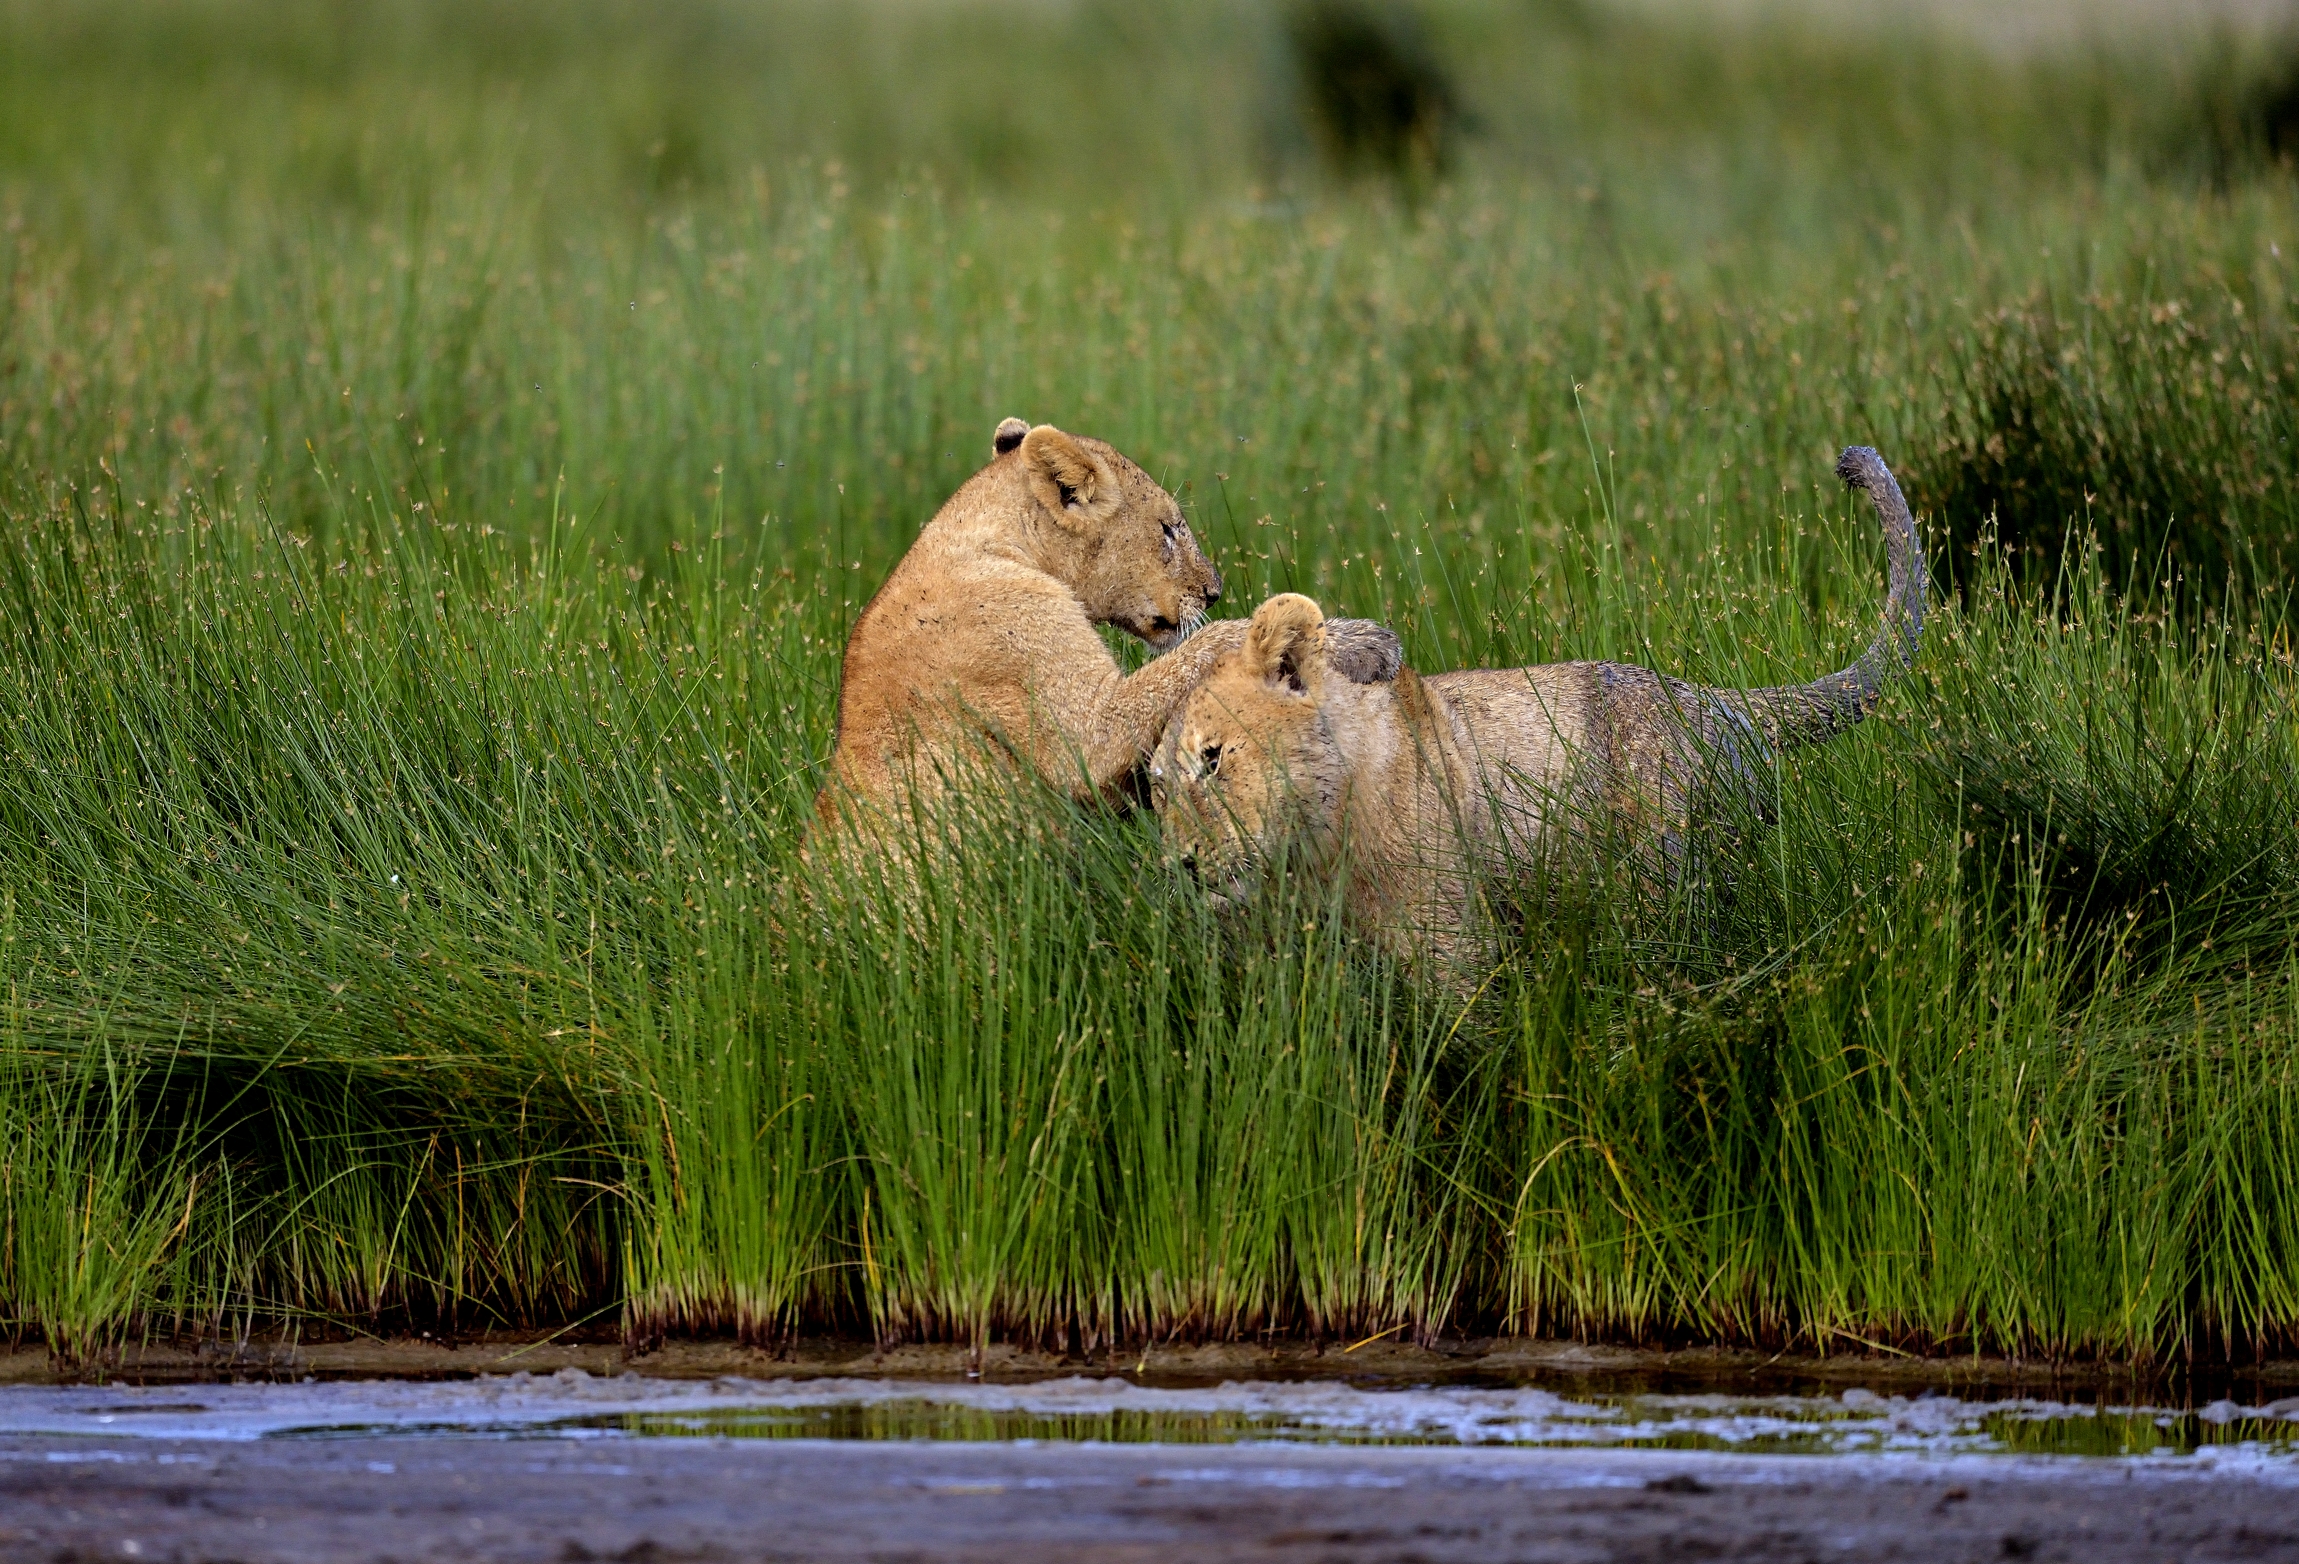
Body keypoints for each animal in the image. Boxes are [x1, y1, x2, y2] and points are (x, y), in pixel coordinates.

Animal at [815, 417, 1400, 848]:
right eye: (1168, 529)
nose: (1213, 590)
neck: (996, 541)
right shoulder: (1077, 721)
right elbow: (1206, 646)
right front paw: (1364, 644)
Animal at [1152, 446, 1926, 960]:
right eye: (1155, 789)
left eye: (1214, 760)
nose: (1178, 868)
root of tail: (1718, 704)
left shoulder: (1448, 936)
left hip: (1669, 879)